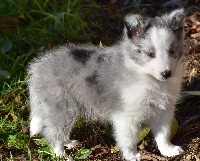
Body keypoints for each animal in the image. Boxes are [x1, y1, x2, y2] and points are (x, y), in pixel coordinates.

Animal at [28, 9, 186, 161]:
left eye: (172, 51)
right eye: (150, 54)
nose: (167, 73)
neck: (148, 78)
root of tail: (38, 68)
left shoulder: (164, 110)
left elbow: (163, 133)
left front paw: (168, 150)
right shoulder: (126, 115)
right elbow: (128, 139)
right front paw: (132, 156)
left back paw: (69, 143)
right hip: (62, 108)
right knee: (53, 133)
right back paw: (62, 155)